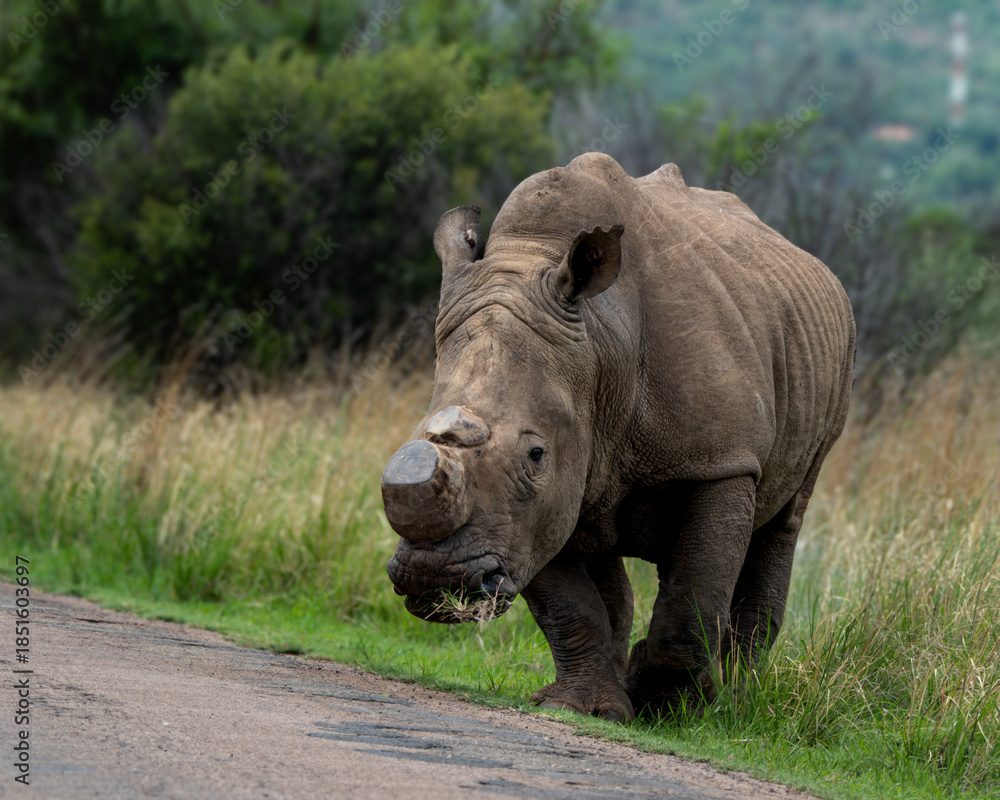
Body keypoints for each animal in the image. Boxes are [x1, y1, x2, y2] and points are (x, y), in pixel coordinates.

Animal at [382, 153, 855, 721]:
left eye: (535, 455)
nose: (434, 577)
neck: (603, 347)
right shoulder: (535, 508)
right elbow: (569, 604)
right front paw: (583, 707)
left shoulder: (721, 461)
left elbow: (693, 597)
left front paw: (670, 707)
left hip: (833, 361)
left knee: (784, 521)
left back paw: (735, 700)